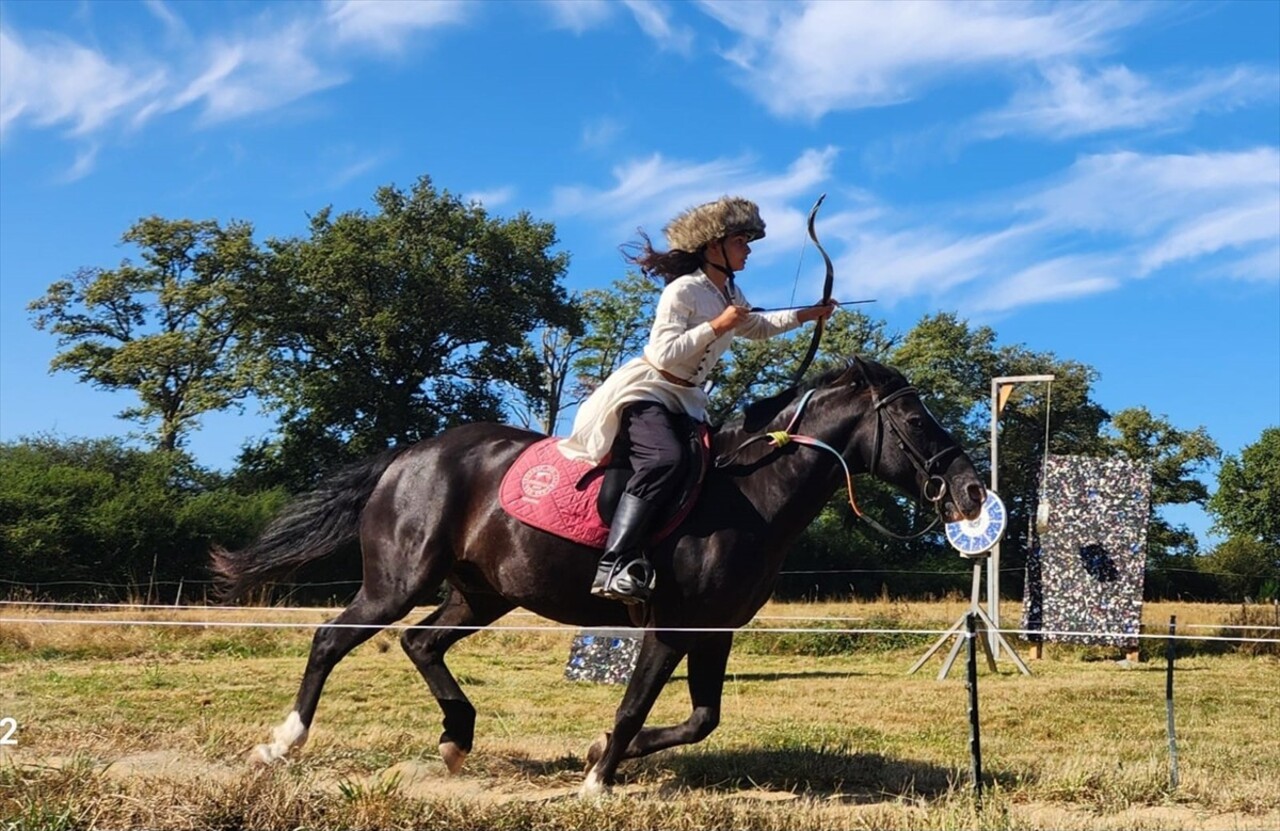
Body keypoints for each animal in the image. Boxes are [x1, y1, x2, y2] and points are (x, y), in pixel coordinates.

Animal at [215, 355, 983, 788]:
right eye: (916, 419)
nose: (972, 492)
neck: (752, 492)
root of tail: (408, 456)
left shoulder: (714, 633)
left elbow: (699, 719)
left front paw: (597, 755)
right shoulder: (670, 629)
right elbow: (634, 704)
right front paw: (597, 779)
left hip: (481, 595)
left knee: (421, 642)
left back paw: (456, 742)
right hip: (396, 584)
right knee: (331, 638)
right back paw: (280, 744)